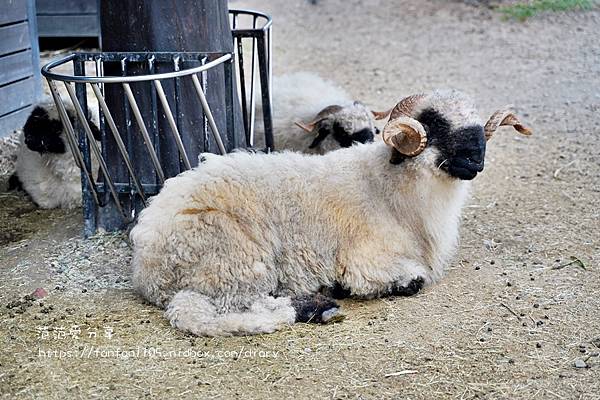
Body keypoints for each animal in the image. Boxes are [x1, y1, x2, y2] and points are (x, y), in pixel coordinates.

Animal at [131, 89, 528, 336]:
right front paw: (344, 286)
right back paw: (313, 306)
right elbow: (411, 281)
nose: (475, 160)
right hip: (234, 259)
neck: (387, 185)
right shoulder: (367, 261)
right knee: (226, 309)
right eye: (434, 122)